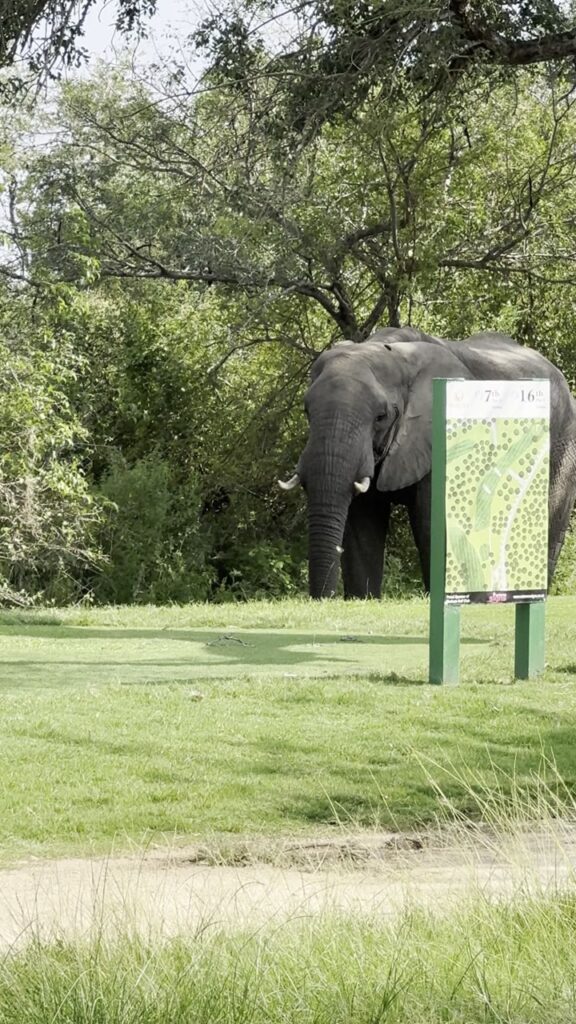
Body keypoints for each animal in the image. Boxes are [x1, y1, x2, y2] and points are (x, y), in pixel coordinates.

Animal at [279, 327, 576, 599]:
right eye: (306, 410)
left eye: (381, 416)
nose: (322, 598)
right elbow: (363, 521)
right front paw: (363, 598)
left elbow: (431, 518)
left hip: (562, 446)